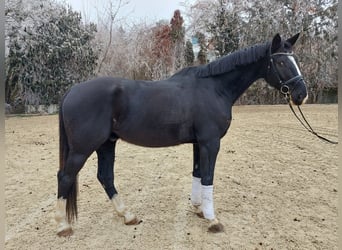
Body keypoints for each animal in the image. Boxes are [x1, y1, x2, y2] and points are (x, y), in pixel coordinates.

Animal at [55, 33, 308, 236]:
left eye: (295, 60)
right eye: (281, 61)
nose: (301, 94)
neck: (214, 88)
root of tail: (72, 91)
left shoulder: (199, 143)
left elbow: (197, 173)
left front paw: (198, 208)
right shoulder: (210, 143)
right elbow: (208, 177)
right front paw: (212, 220)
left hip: (106, 144)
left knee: (105, 177)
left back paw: (128, 215)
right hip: (82, 149)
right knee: (65, 177)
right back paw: (63, 226)